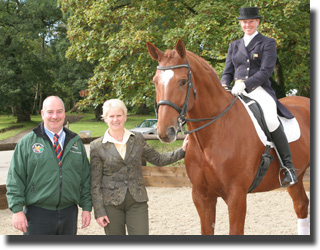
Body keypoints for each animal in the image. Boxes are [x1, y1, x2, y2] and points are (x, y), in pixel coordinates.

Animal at [148, 38, 310, 234]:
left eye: (182, 81)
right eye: (155, 81)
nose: (165, 132)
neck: (211, 138)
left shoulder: (236, 196)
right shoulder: (202, 196)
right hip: (297, 178)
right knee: (301, 205)